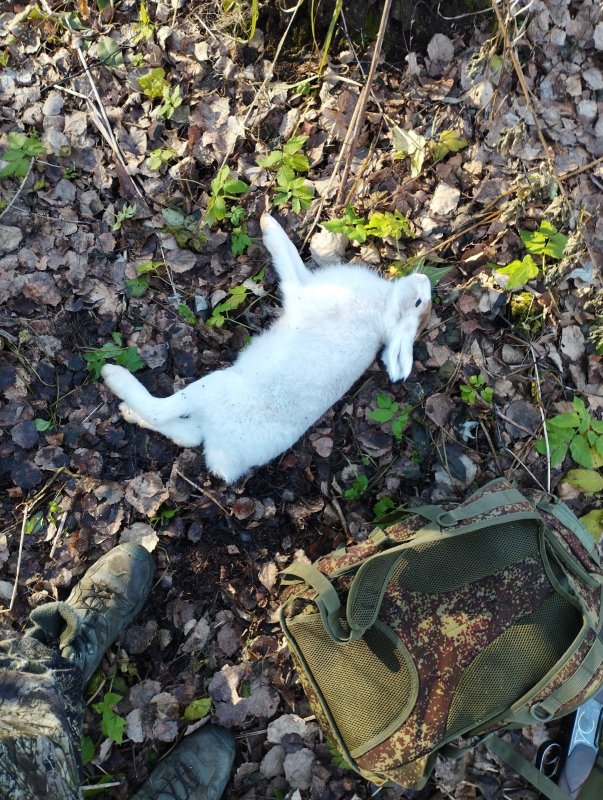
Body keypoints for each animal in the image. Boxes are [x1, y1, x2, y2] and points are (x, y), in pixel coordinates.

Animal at [102, 213, 432, 483]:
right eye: (420, 302)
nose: (425, 278)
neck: (383, 307)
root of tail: (225, 460)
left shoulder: (303, 292)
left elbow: (287, 260)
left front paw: (268, 226)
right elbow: (295, 258)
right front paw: (269, 221)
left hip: (216, 387)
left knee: (164, 413)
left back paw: (115, 379)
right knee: (188, 435)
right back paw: (129, 412)